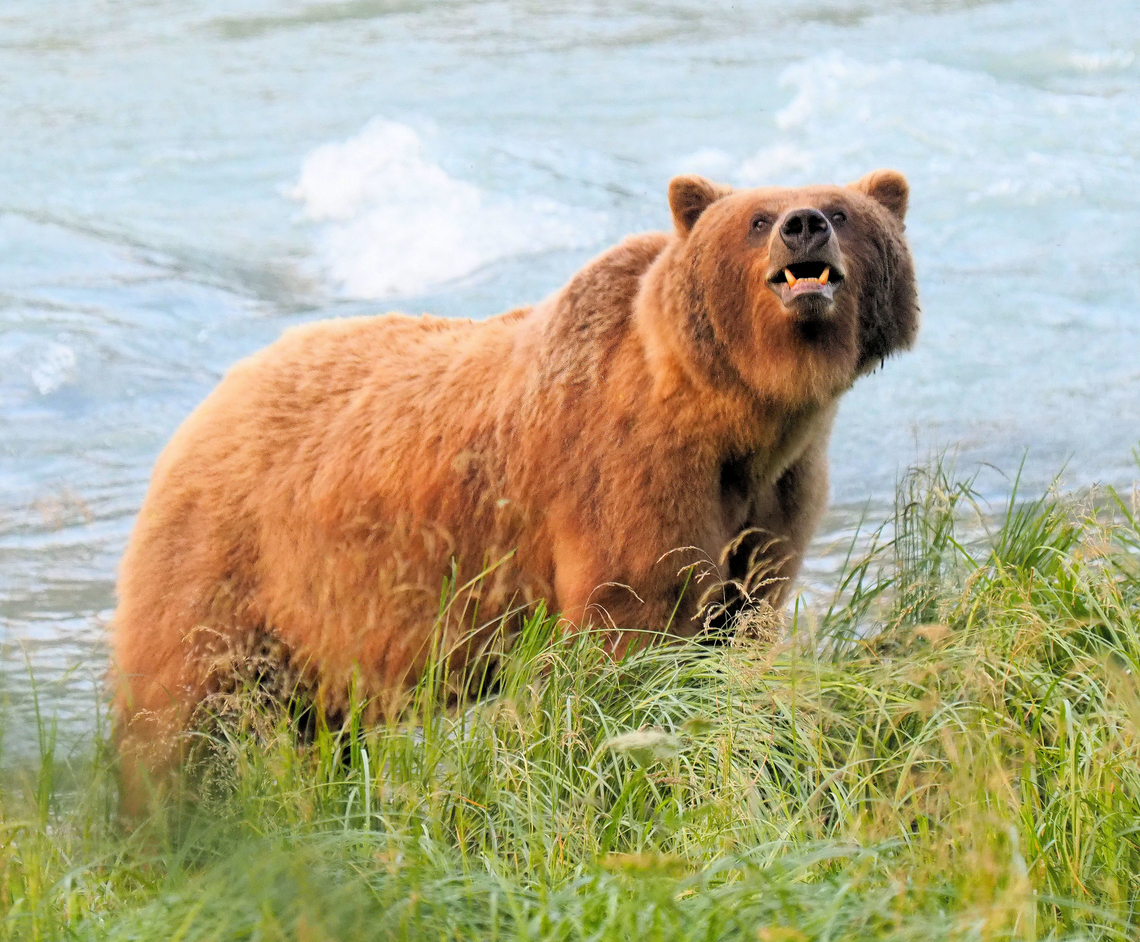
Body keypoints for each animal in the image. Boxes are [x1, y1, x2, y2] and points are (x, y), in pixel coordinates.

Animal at [112, 169, 918, 814]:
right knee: (186, 710)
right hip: (233, 565)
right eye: (756, 218)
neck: (737, 419)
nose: (802, 224)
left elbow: (739, 626)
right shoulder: (630, 474)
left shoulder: (774, 499)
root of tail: (209, 405)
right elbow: (633, 632)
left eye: (841, 210)